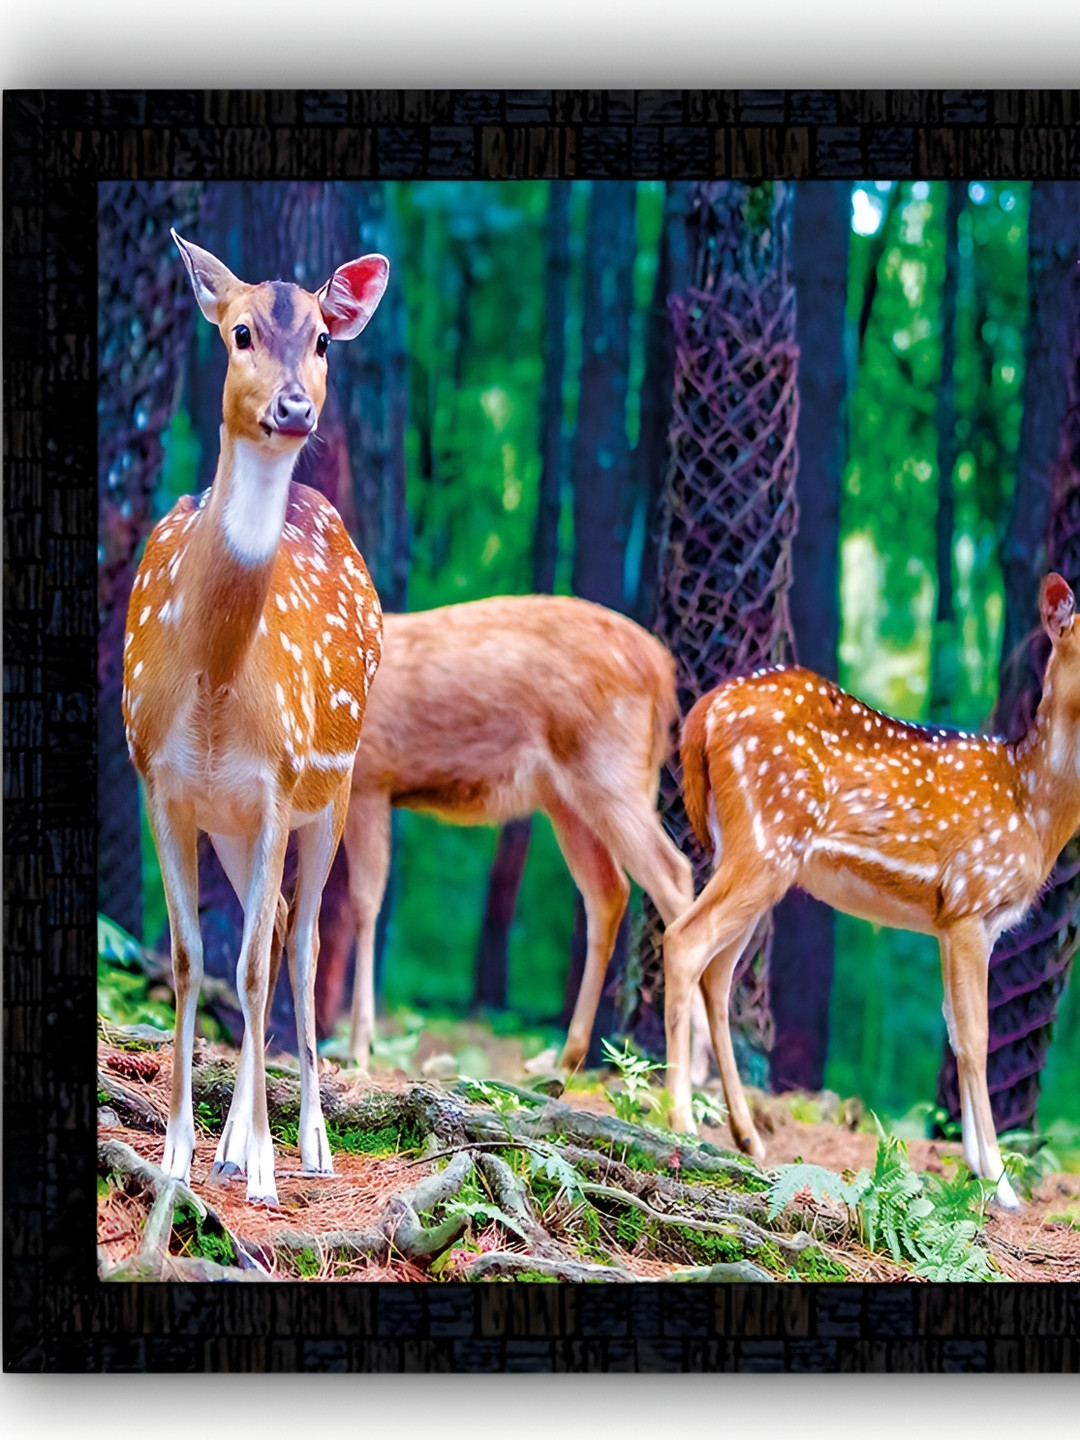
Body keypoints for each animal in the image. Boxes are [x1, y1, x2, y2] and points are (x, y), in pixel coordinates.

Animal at [121, 231, 388, 1205]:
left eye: (323, 339)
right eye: (239, 332)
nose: (294, 406)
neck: (210, 689)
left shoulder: (278, 783)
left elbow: (258, 963)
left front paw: (265, 1170)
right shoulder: (158, 781)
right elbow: (193, 957)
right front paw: (176, 1155)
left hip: (334, 790)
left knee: (298, 945)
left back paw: (303, 1143)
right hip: (236, 824)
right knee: (264, 932)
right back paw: (235, 1144)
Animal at [318, 594, 700, 1075]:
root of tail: (661, 669)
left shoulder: (370, 777)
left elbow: (365, 903)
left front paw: (358, 1047)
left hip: (609, 766)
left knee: (673, 875)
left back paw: (694, 1070)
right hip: (567, 797)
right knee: (608, 893)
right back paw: (566, 1059)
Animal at [661, 573, 1080, 1210]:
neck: (1033, 807)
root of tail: (705, 710)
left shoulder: (950, 920)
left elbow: (953, 1030)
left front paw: (980, 1169)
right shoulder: (971, 901)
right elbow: (976, 1037)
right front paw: (1001, 1185)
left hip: (754, 855)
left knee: (717, 970)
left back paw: (749, 1137)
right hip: (767, 837)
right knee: (684, 940)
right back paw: (682, 1122)